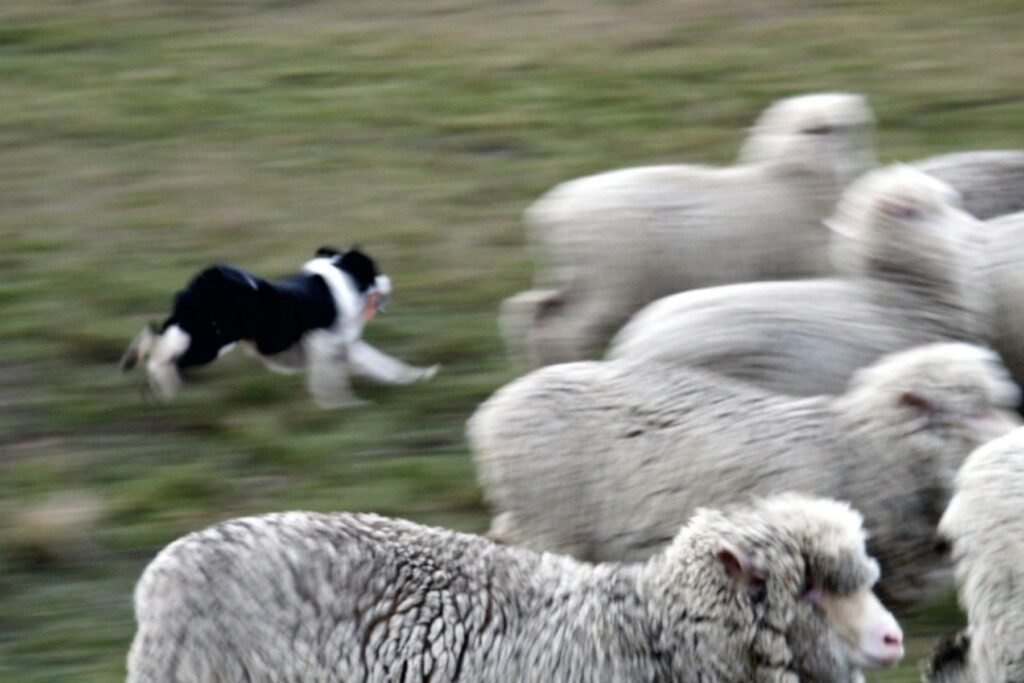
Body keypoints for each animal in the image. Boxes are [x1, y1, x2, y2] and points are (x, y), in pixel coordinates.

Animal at [468, 342, 1020, 611]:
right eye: (972, 409)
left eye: (994, 399)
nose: (1011, 439)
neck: (861, 450)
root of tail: (488, 415)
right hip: (552, 517)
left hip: (532, 515)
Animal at [500, 92, 877, 368]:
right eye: (818, 130)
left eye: (851, 128)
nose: (846, 161)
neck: (792, 184)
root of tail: (548, 214)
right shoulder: (804, 269)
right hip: (609, 278)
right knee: (563, 329)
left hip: (574, 276)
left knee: (530, 313)